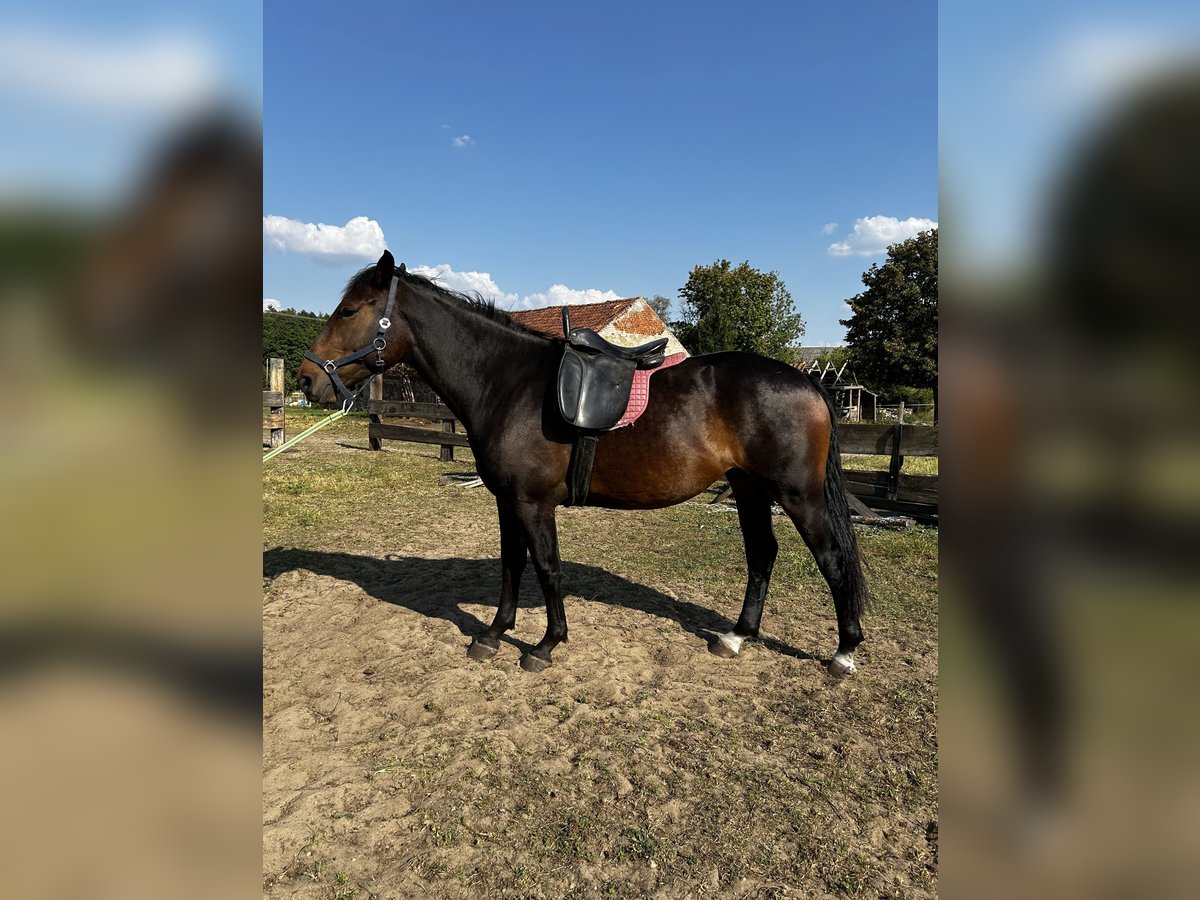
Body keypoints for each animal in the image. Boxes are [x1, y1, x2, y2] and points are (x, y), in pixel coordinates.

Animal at [295, 250, 868, 672]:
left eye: (349, 311)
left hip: (797, 496)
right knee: (762, 555)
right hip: (749, 489)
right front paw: (494, 633)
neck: (508, 382)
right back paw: (737, 636)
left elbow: (547, 567)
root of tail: (807, 382)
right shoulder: (508, 501)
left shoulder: (533, 503)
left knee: (833, 559)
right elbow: (511, 563)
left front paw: (546, 645)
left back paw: (843, 652)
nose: (306, 379)